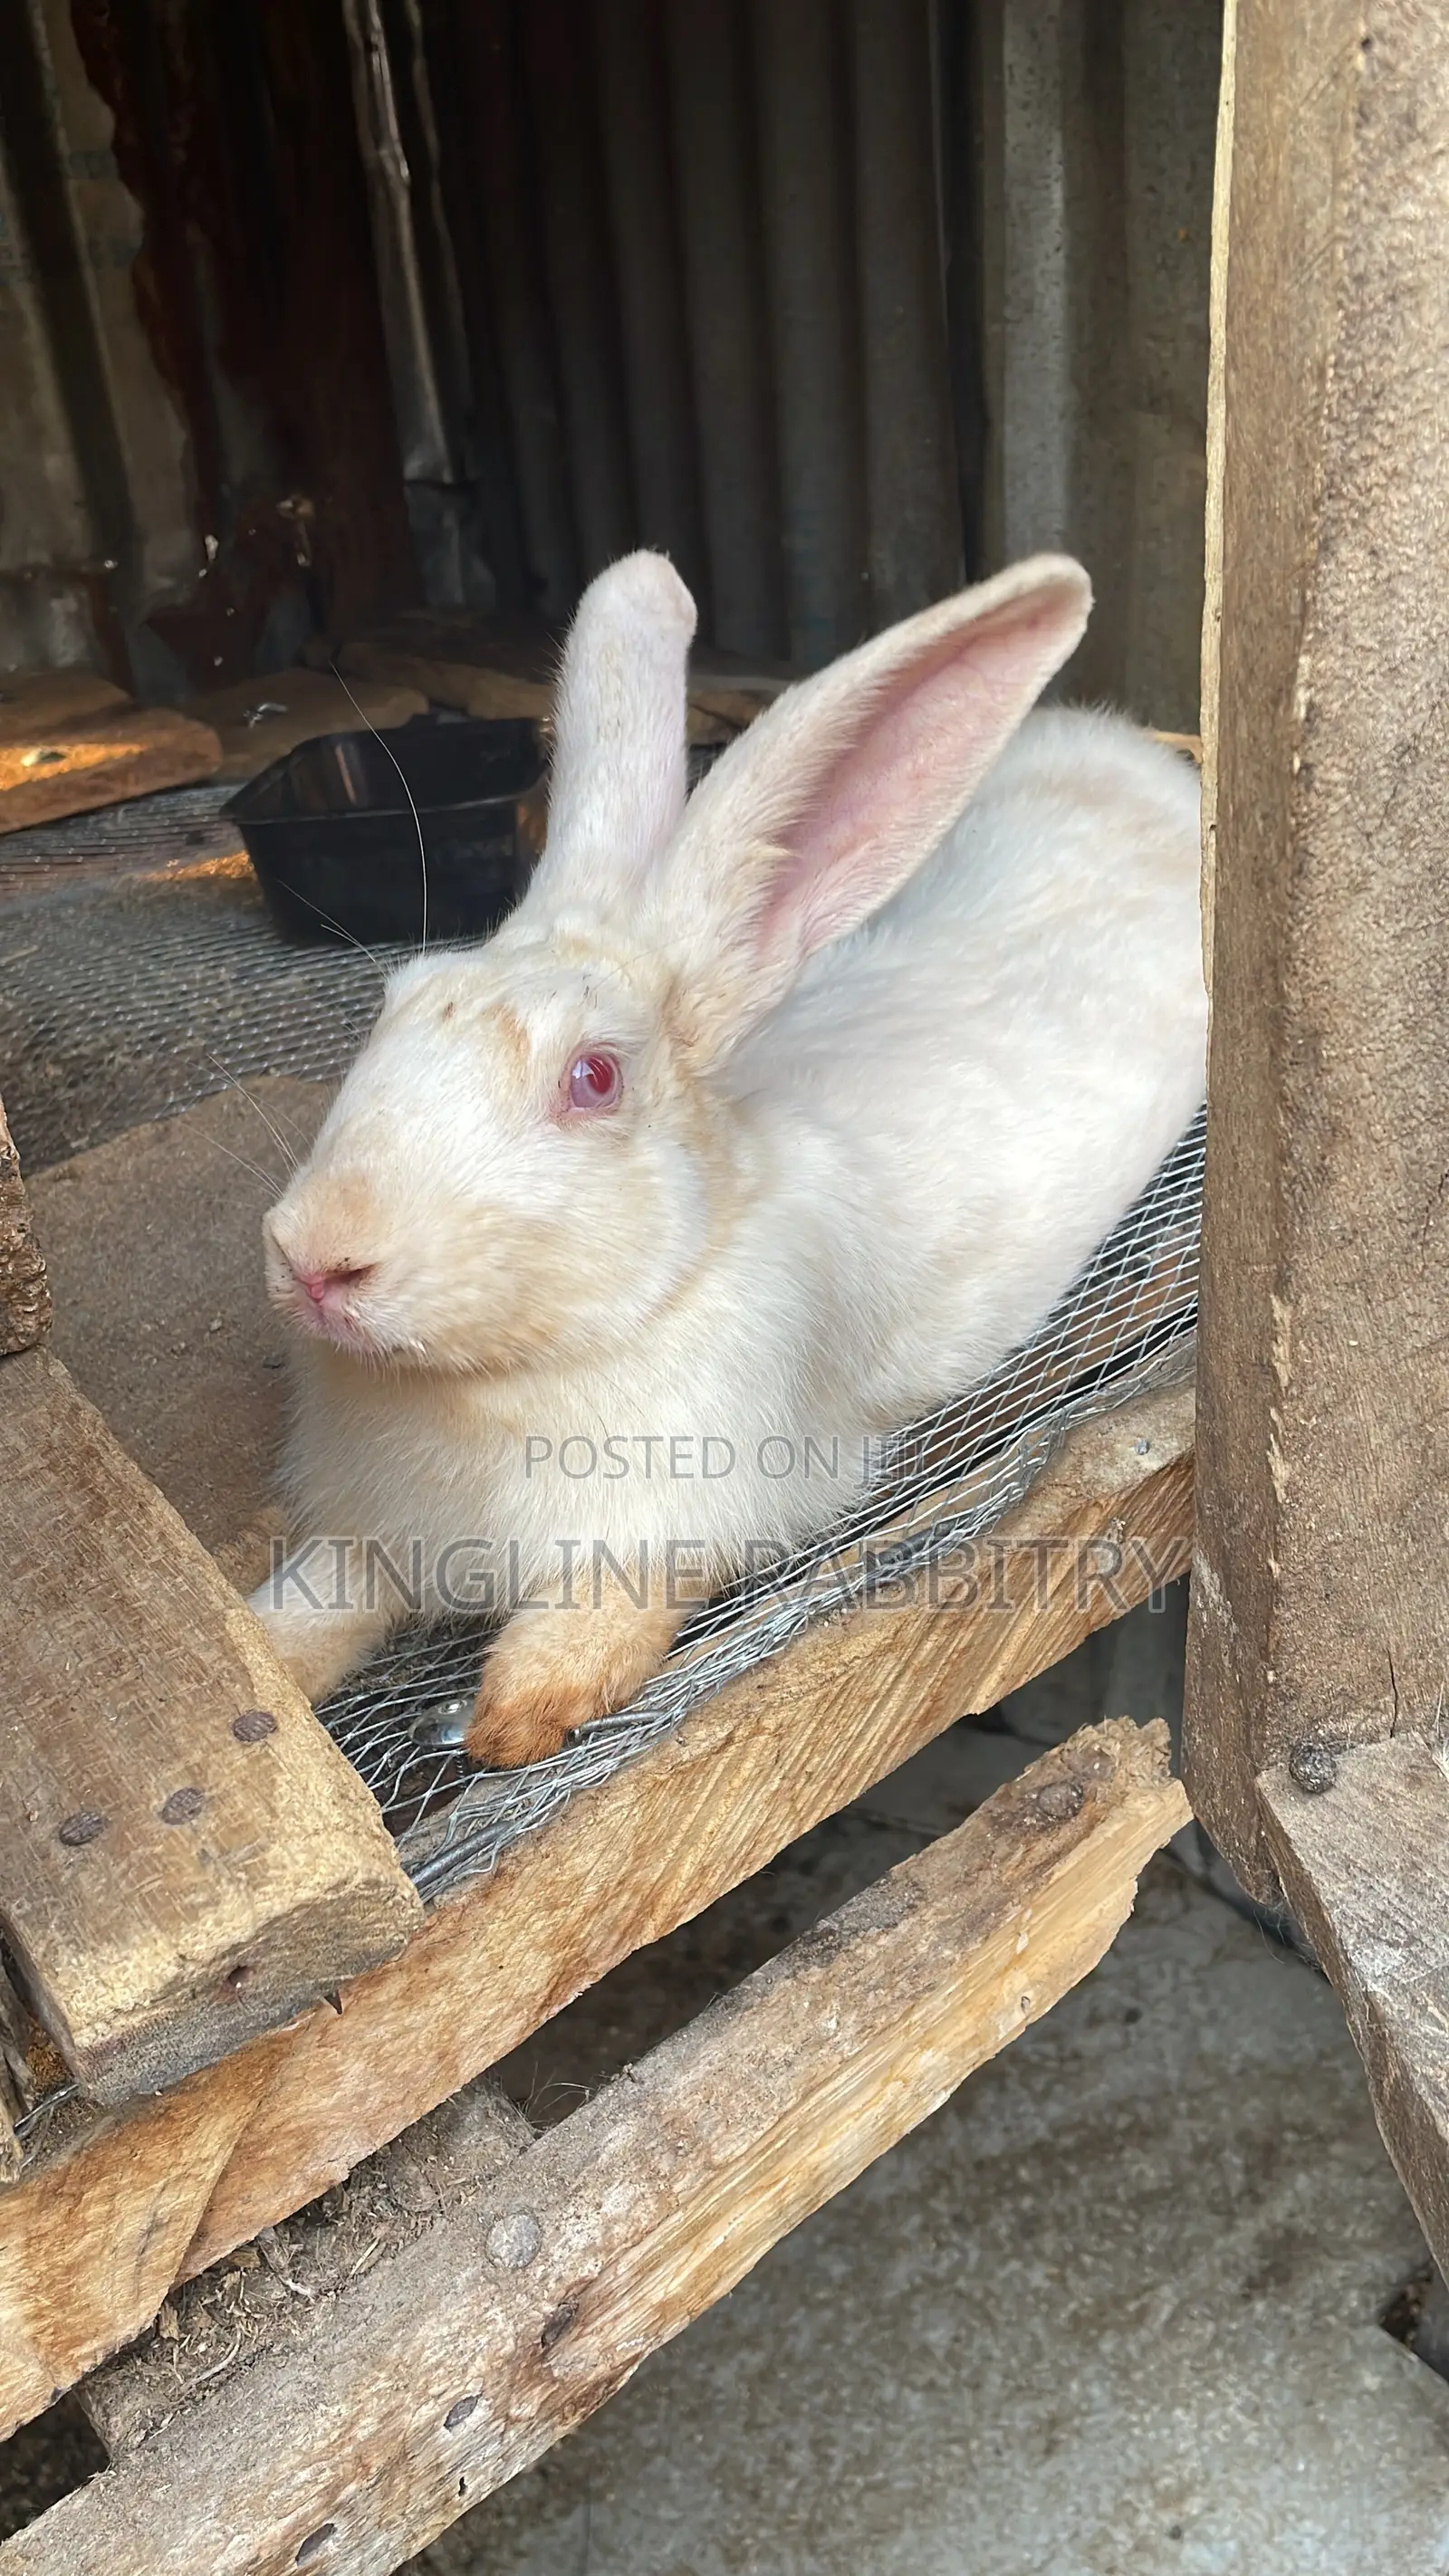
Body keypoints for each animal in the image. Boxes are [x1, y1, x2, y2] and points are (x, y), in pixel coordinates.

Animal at [252, 547, 1206, 1769]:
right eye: (394, 1001)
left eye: (594, 1078)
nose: (316, 1258)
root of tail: (1145, 759)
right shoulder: (366, 1537)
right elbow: (303, 1610)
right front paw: (261, 1669)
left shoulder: (673, 1524)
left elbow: (601, 1619)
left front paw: (519, 1717)